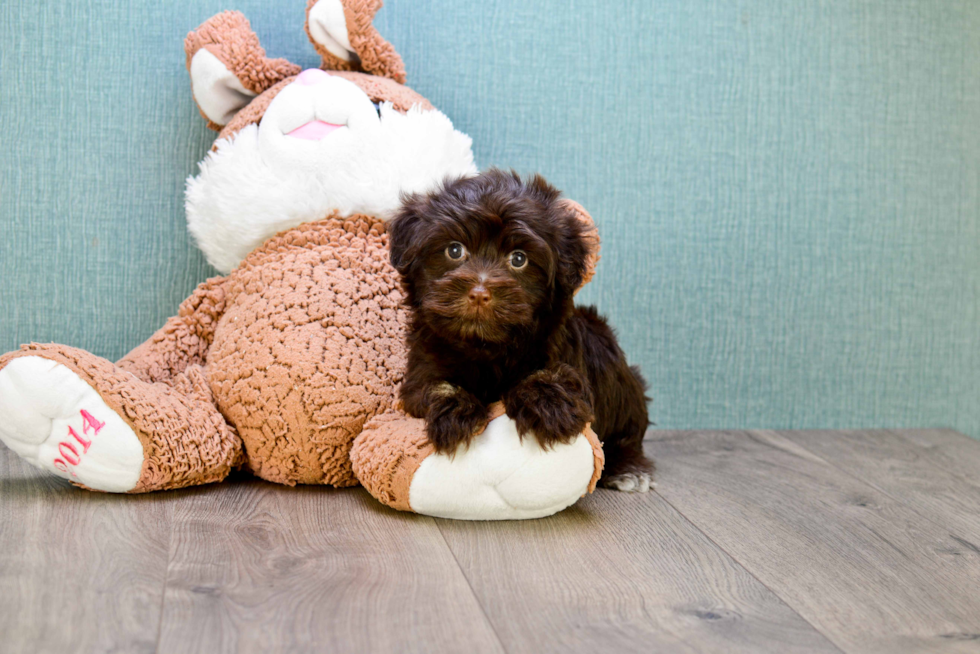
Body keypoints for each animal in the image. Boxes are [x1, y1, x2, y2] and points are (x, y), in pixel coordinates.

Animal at [386, 169, 656, 492]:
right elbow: (433, 385)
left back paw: (628, 468)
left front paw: (549, 405)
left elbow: (553, 376)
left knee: (627, 432)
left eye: (518, 259)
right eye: (454, 250)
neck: (486, 346)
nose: (479, 293)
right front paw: (455, 412)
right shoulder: (423, 364)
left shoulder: (561, 352)